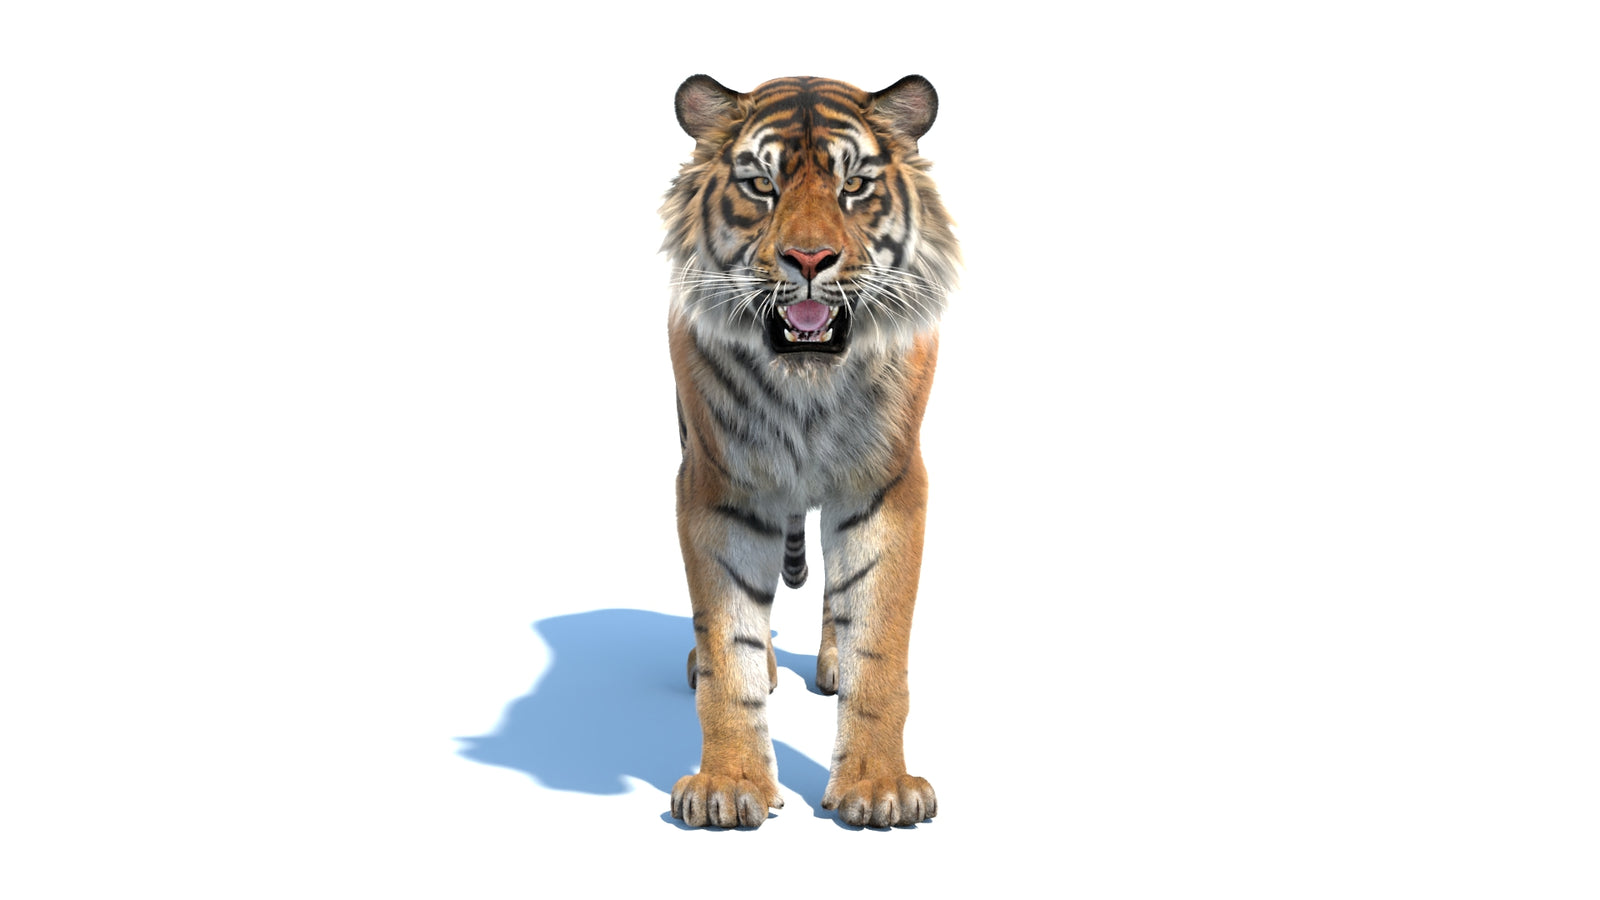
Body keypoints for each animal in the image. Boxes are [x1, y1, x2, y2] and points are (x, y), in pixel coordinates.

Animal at [662, 74, 958, 828]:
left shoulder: (888, 482)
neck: (808, 382)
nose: (808, 260)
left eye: (853, 185)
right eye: (761, 185)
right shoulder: (718, 484)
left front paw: (880, 788)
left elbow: (878, 641)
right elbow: (729, 643)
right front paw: (728, 784)